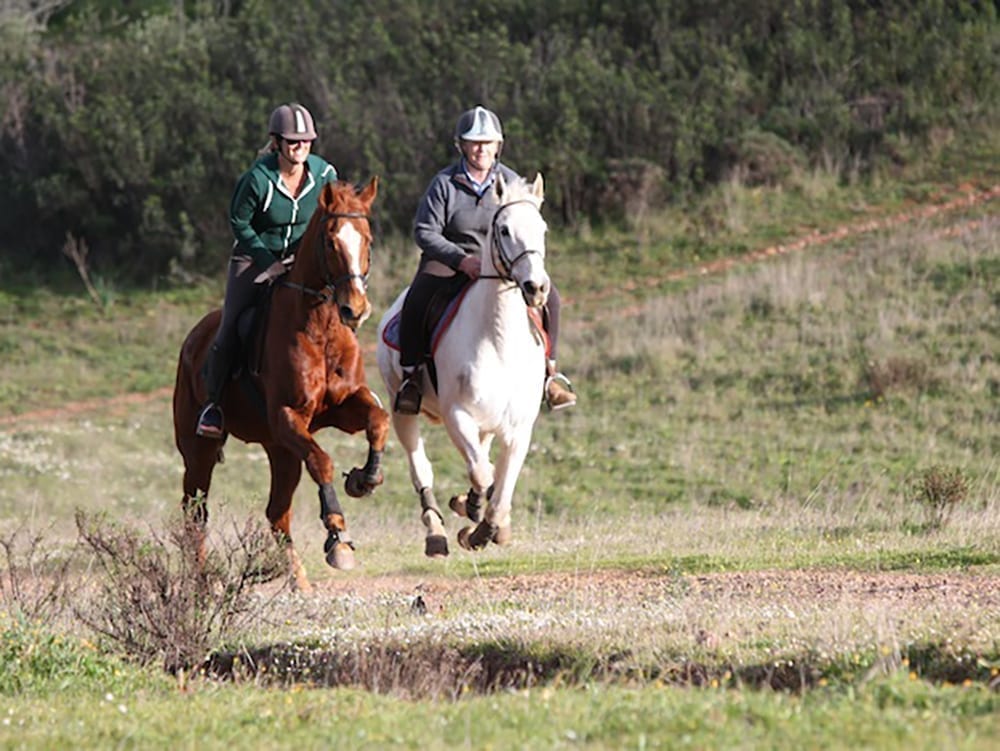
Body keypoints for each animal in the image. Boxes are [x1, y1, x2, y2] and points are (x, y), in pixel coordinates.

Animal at [174, 178, 388, 592]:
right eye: (330, 242)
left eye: (368, 240)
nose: (355, 310)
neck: (322, 326)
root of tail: (192, 339)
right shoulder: (289, 416)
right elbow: (322, 461)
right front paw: (337, 536)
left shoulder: (343, 407)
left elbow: (378, 421)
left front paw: (365, 479)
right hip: (199, 449)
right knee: (195, 510)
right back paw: (203, 581)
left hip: (281, 450)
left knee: (277, 513)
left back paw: (298, 579)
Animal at [374, 173, 548, 556]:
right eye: (504, 230)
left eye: (542, 228)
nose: (536, 287)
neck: (499, 341)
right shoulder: (457, 415)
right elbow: (484, 474)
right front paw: (477, 524)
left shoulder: (519, 430)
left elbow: (502, 485)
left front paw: (491, 526)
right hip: (401, 409)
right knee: (422, 470)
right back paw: (437, 532)